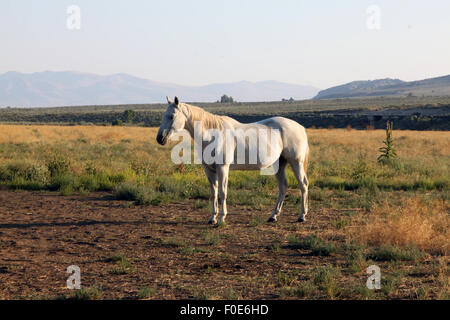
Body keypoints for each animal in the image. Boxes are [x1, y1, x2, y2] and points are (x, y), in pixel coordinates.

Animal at [156, 96, 310, 224]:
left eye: (171, 116)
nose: (160, 138)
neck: (212, 135)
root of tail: (300, 127)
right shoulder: (209, 170)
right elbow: (214, 193)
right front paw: (212, 218)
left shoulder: (223, 168)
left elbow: (223, 192)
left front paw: (222, 218)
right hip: (279, 164)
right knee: (283, 187)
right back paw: (273, 216)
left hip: (296, 162)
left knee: (303, 185)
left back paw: (302, 216)